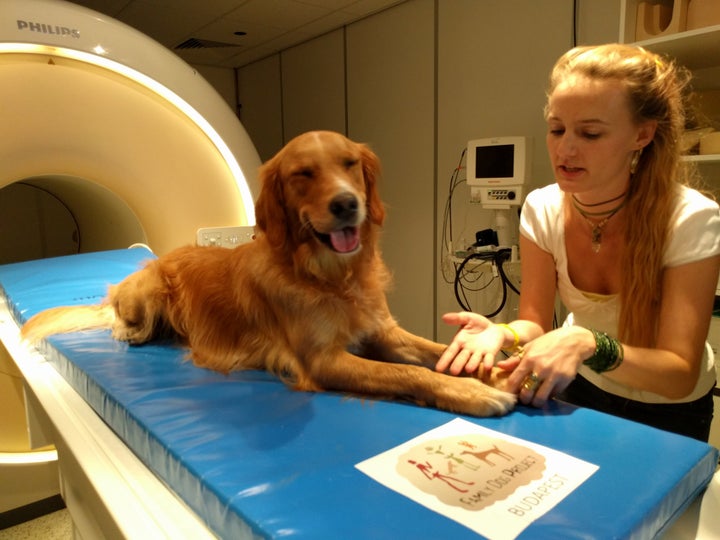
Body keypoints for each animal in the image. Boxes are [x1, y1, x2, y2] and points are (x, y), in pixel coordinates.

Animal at [22, 131, 516, 418]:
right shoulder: (323, 360)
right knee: (119, 320)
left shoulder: (383, 332)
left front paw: (495, 371)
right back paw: (130, 330)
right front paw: (472, 392)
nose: (346, 204)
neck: (329, 276)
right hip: (147, 288)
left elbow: (437, 351)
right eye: (303, 173)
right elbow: (408, 375)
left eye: (349, 164)